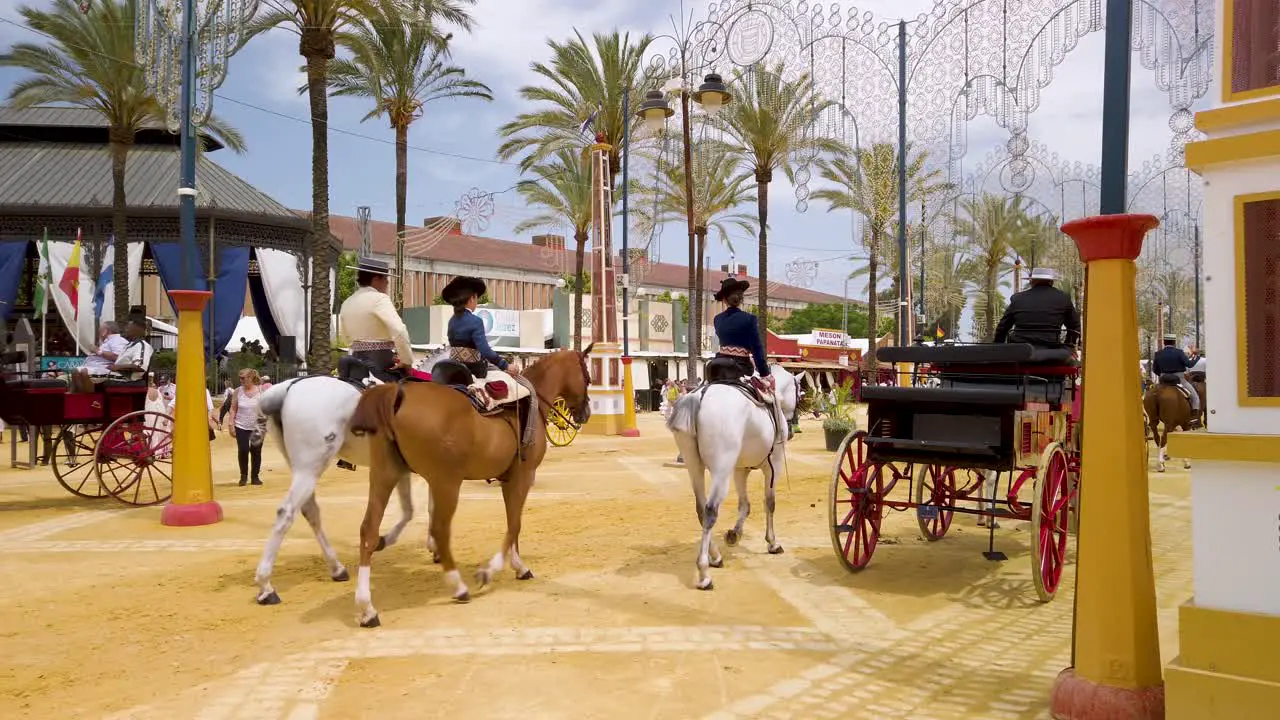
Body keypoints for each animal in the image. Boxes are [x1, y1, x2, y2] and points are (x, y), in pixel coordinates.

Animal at [249, 345, 450, 602]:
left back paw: (337, 569)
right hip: (309, 468)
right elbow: (428, 507)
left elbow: (410, 510)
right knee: (286, 513)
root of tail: (287, 388)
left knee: (310, 511)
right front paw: (434, 547)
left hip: (304, 469)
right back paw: (266, 586)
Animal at [345, 345, 593, 625]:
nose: (585, 413)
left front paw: (515, 566)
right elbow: (514, 524)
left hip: (385, 475)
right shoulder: (522, 476)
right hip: (446, 483)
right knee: (440, 530)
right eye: (587, 377)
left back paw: (367, 608)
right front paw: (499, 570)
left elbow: (513, 525)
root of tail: (398, 395)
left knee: (369, 530)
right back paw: (458, 587)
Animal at [665, 363, 793, 589]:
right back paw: (704, 572)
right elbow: (769, 502)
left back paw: (715, 556)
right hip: (721, 469)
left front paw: (735, 534)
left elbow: (745, 505)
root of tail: (699, 396)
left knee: (701, 508)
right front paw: (772, 542)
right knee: (710, 510)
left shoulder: (739, 469)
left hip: (694, 466)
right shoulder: (773, 465)